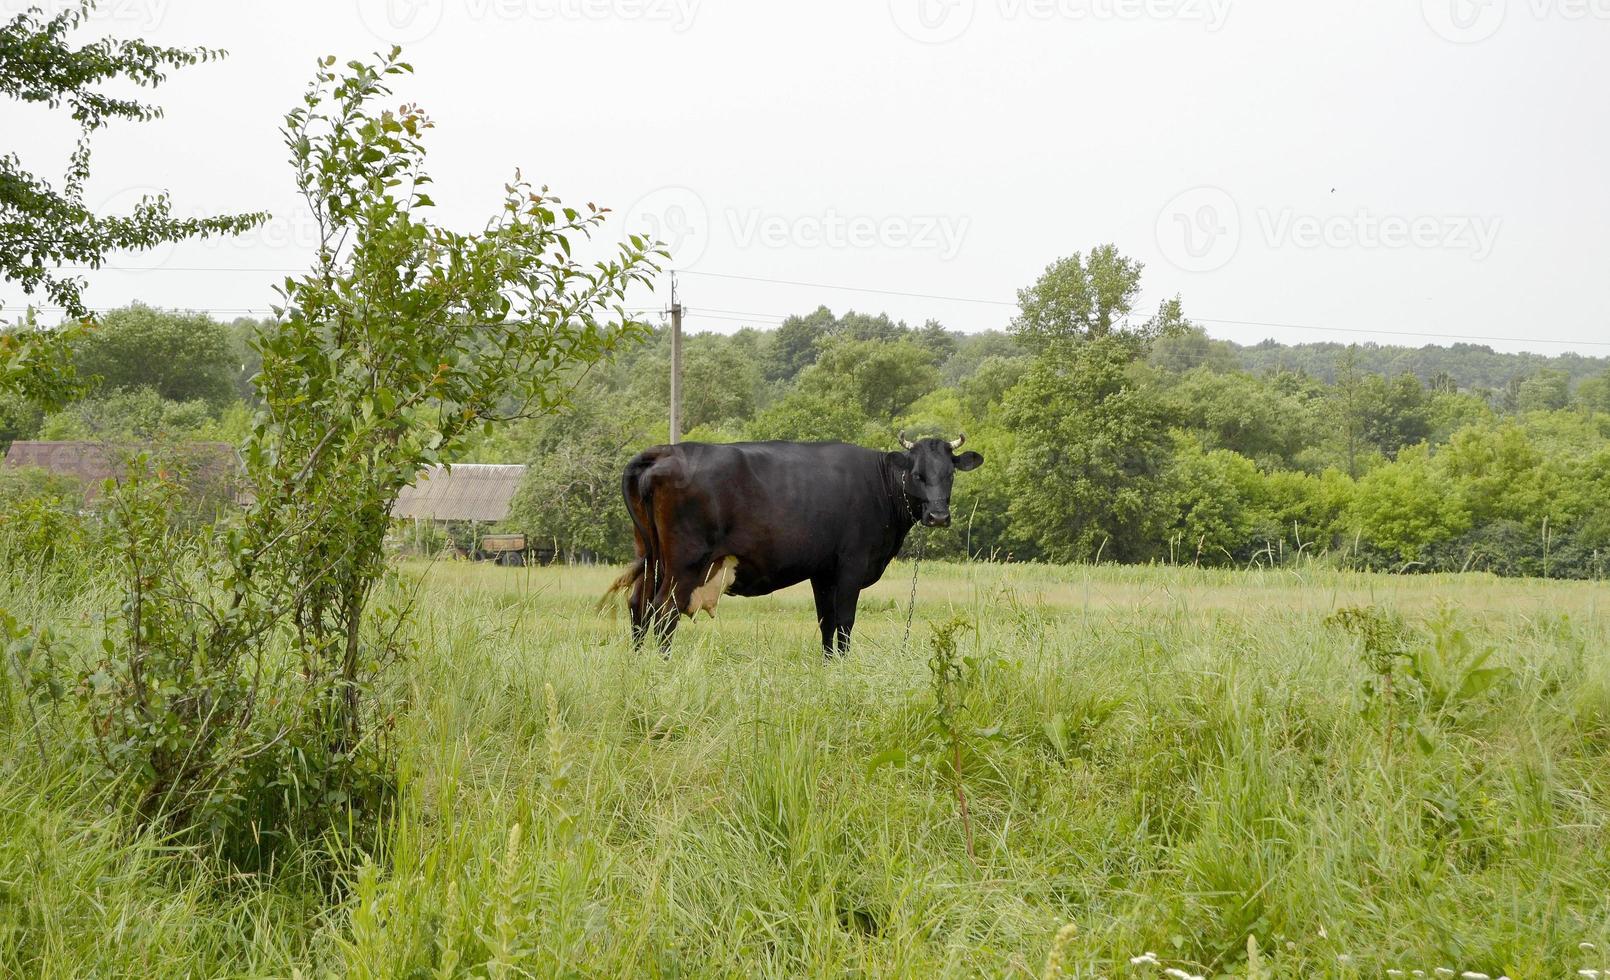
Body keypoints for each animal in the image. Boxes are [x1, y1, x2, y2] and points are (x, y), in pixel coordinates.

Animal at [602, 431, 978, 653]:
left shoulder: (824, 572)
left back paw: (640, 662)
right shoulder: (851, 567)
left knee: (639, 604)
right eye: (917, 474)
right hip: (686, 563)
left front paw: (830, 667)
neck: (879, 484)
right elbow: (844, 621)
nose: (939, 517)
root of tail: (665, 451)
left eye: (950, 473)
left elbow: (827, 622)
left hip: (651, 556)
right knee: (664, 611)